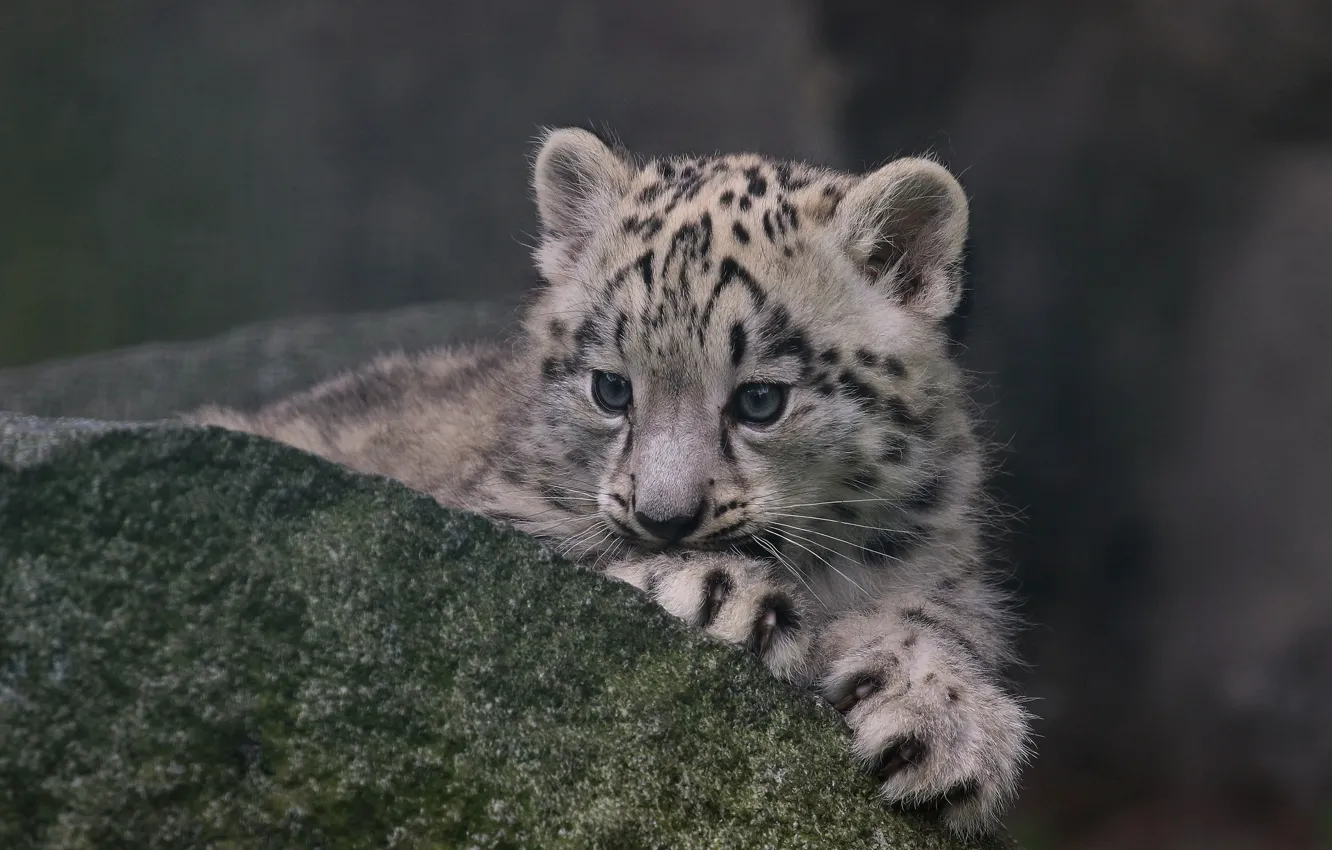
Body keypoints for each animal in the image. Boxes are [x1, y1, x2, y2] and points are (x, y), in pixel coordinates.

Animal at [189, 127, 1035, 836]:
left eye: (761, 400)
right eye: (611, 389)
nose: (665, 517)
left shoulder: (938, 555)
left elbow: (940, 617)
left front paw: (944, 727)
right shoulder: (493, 515)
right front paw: (724, 597)